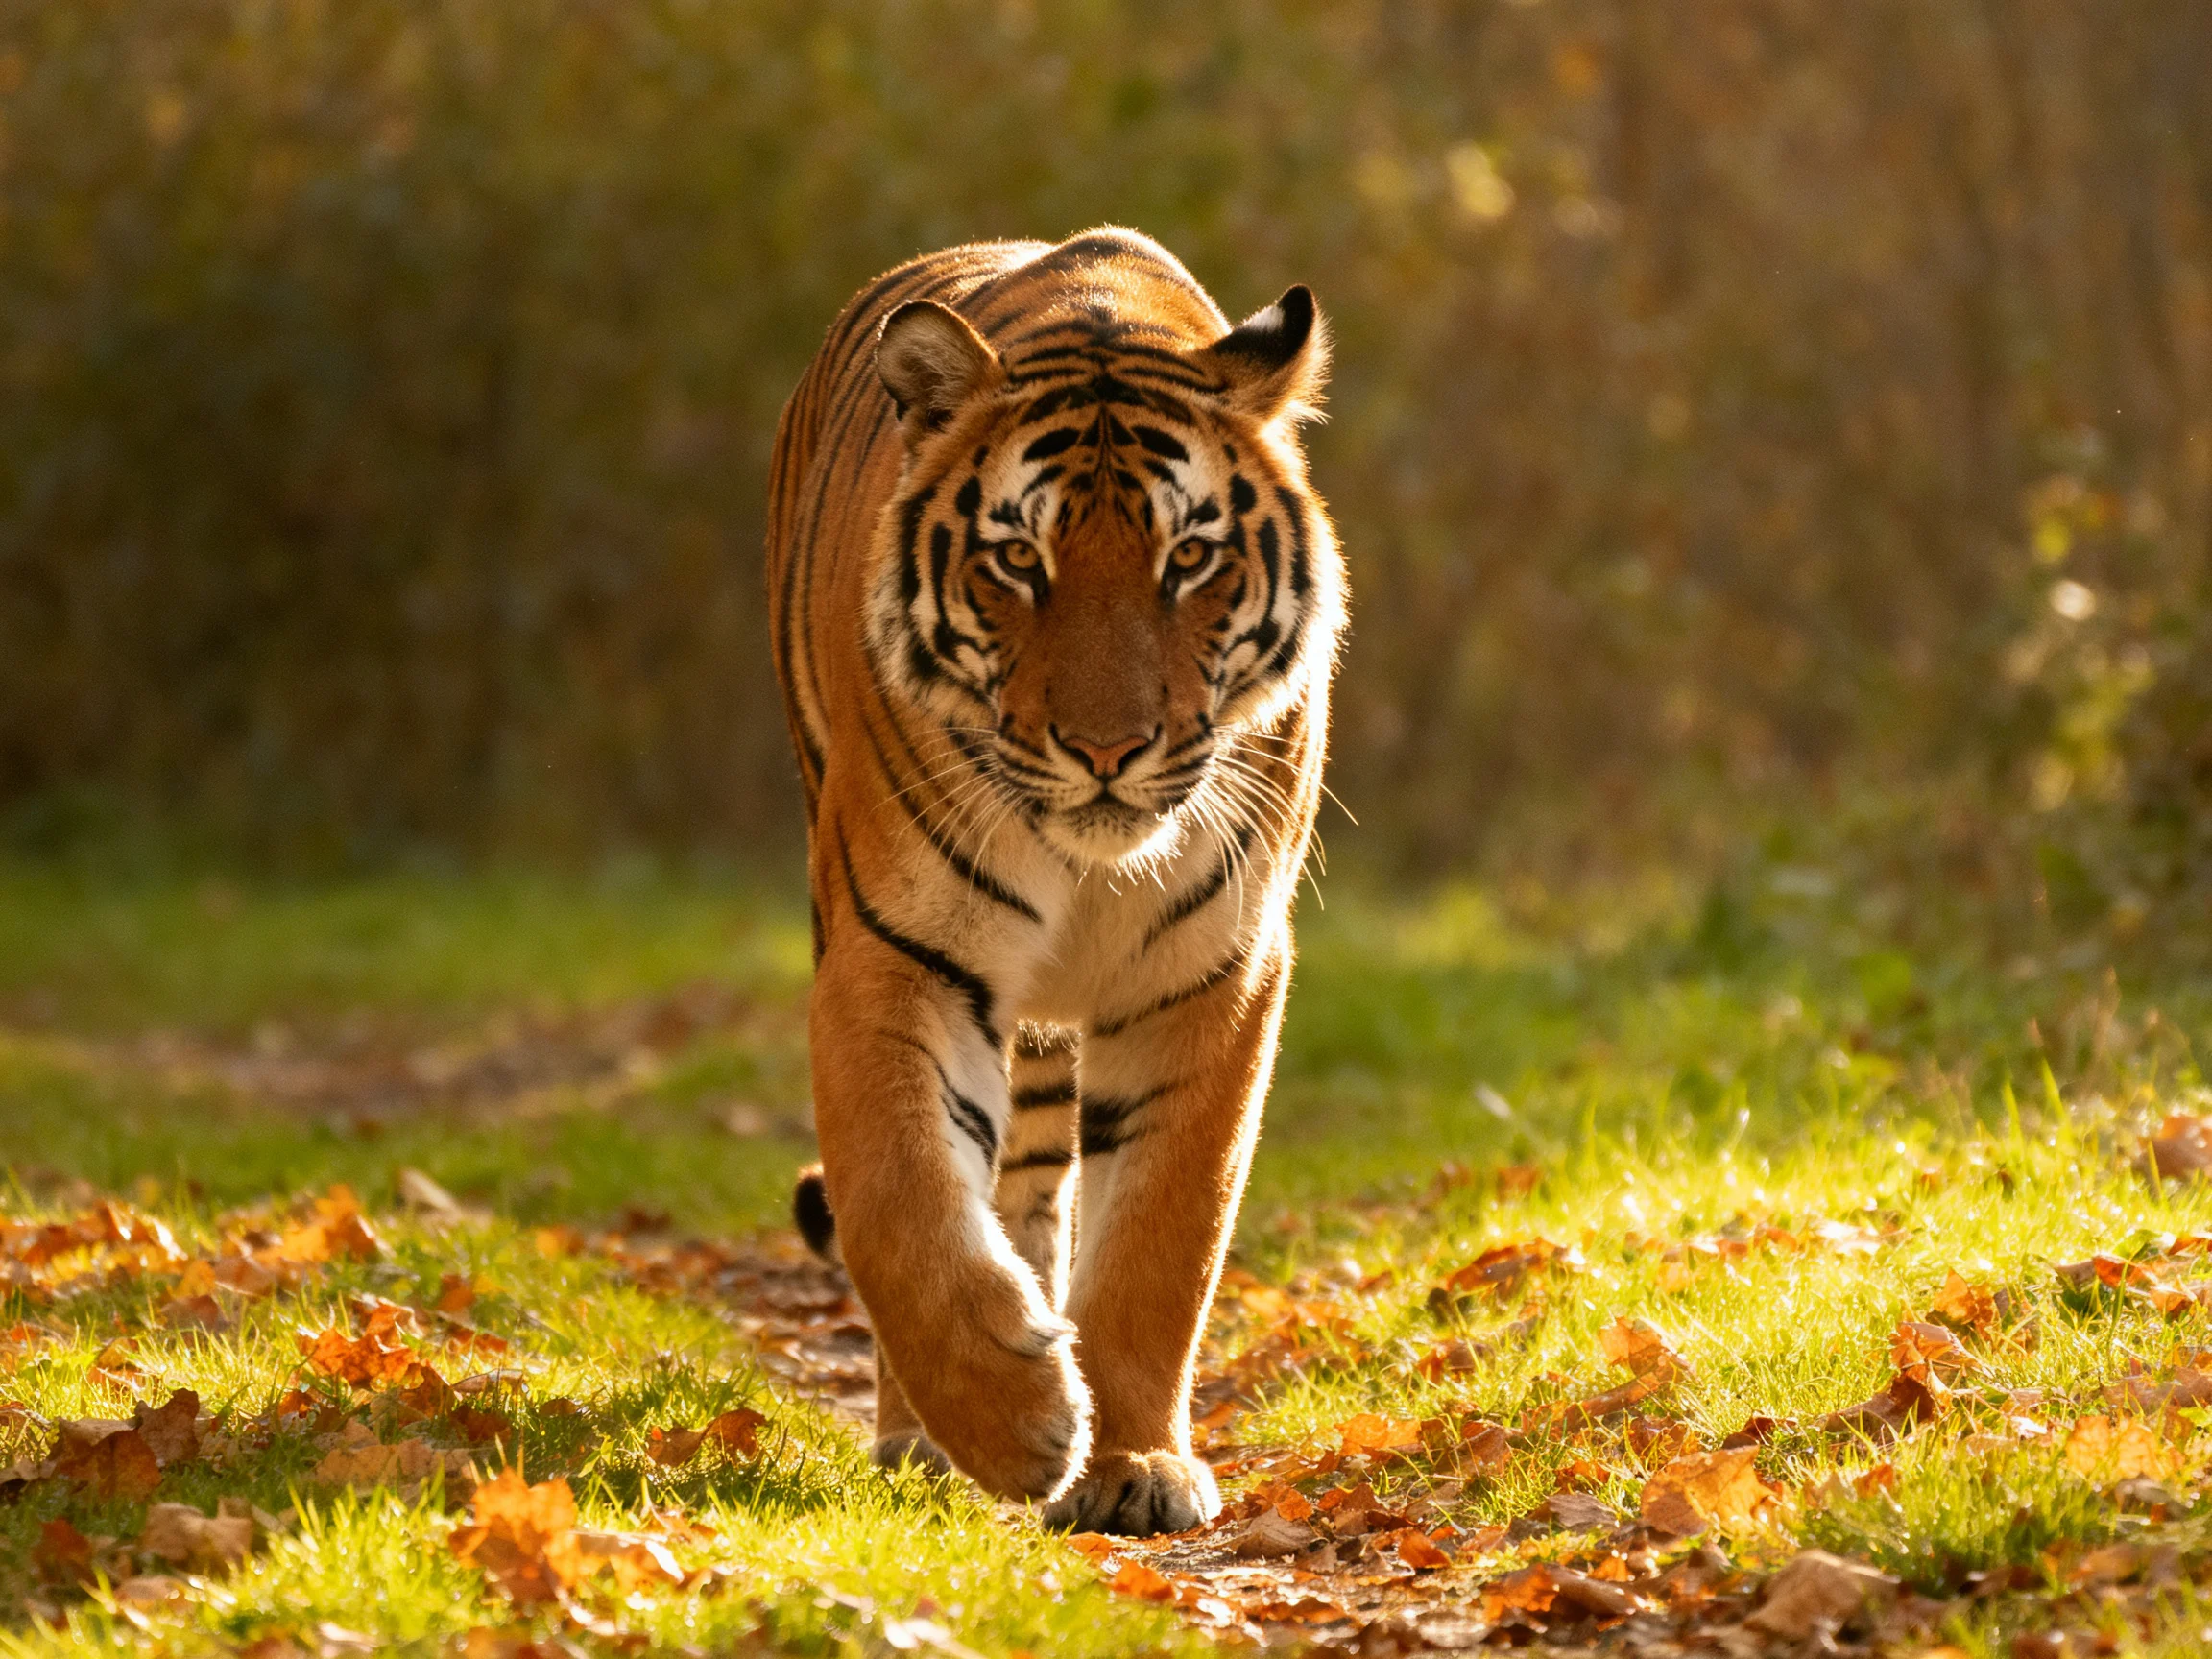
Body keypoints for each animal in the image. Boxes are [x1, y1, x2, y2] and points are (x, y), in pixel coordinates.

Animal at [766, 227, 1345, 1536]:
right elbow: (900, 1195)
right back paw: (922, 1437)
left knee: (1035, 1187)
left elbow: (1163, 1239)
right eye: (1017, 560)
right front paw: (1014, 1423)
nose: (1106, 750)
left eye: (1191, 558)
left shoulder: (1216, 971)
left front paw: (1132, 1463)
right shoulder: (895, 951)